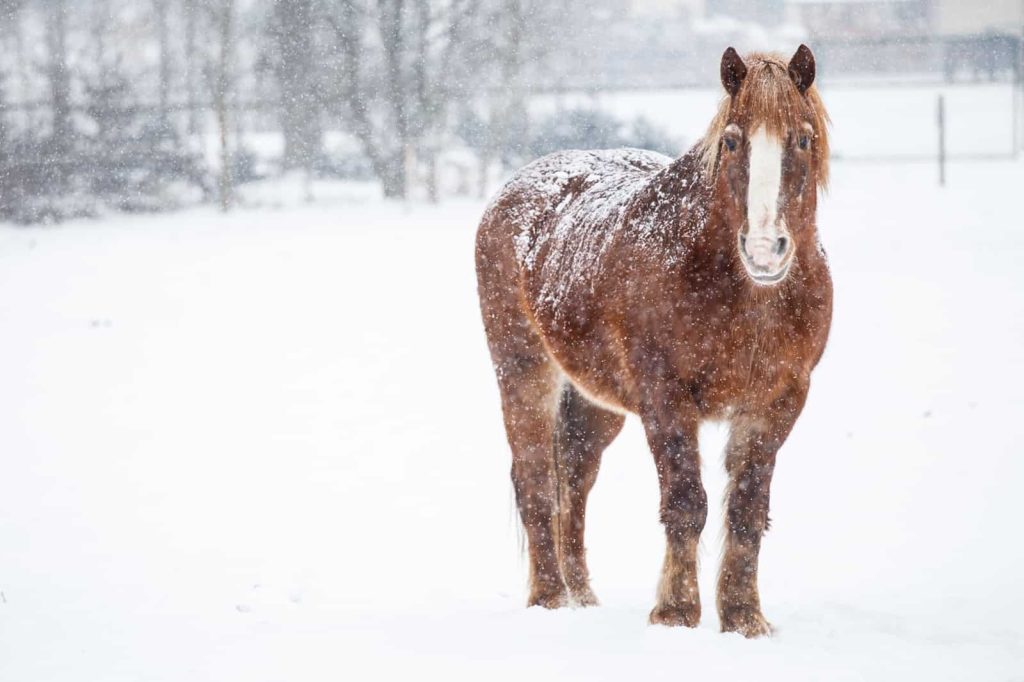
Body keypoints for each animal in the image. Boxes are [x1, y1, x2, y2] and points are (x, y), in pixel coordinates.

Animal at [474, 45, 832, 638]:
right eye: (732, 140)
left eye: (802, 139)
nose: (764, 249)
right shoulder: (666, 398)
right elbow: (687, 503)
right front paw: (676, 613)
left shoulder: (777, 402)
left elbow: (747, 510)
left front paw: (744, 618)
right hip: (523, 373)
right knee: (536, 480)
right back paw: (549, 599)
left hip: (597, 404)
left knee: (574, 480)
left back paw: (582, 595)